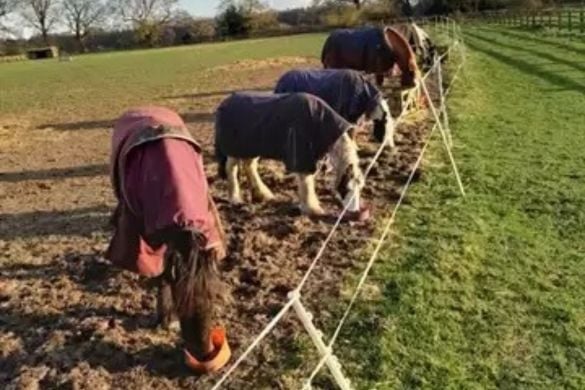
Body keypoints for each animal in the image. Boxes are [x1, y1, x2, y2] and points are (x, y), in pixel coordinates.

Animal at [213, 93, 360, 218]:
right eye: (347, 188)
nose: (355, 212)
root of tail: (225, 102)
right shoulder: (301, 155)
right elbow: (306, 183)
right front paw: (312, 209)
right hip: (233, 149)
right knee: (231, 169)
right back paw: (235, 198)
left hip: (250, 147)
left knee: (249, 166)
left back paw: (262, 194)